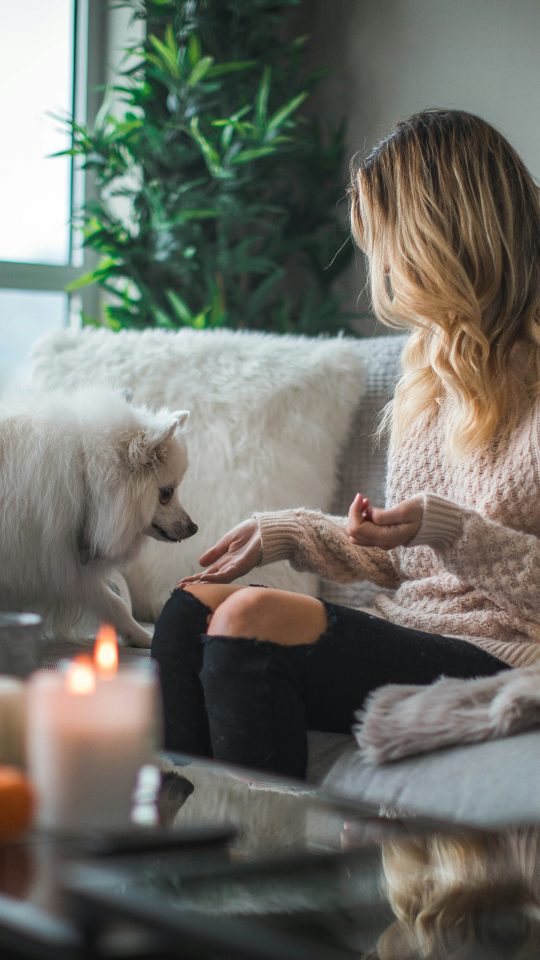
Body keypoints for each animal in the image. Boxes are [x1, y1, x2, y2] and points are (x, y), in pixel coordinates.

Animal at [0, 386, 197, 648]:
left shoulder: (63, 562)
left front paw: (140, 636)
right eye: (166, 493)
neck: (83, 477)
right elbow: (115, 601)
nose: (194, 527)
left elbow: (113, 603)